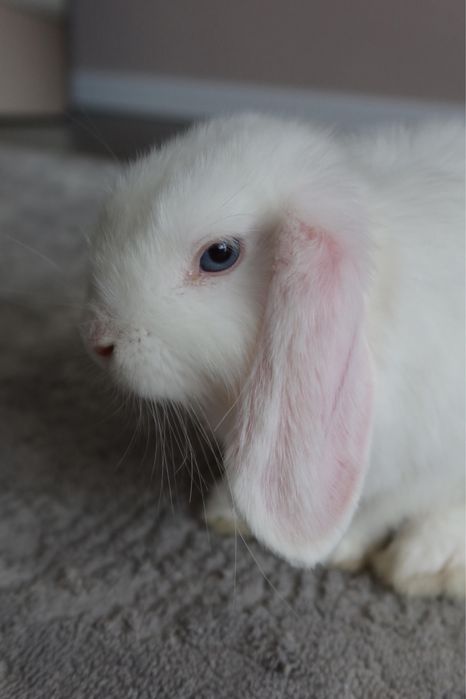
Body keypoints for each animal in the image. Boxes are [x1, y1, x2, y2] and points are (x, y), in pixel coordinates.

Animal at [84, 113, 465, 597]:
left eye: (219, 255)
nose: (98, 341)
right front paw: (225, 511)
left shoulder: (433, 463)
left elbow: (388, 507)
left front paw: (374, 557)